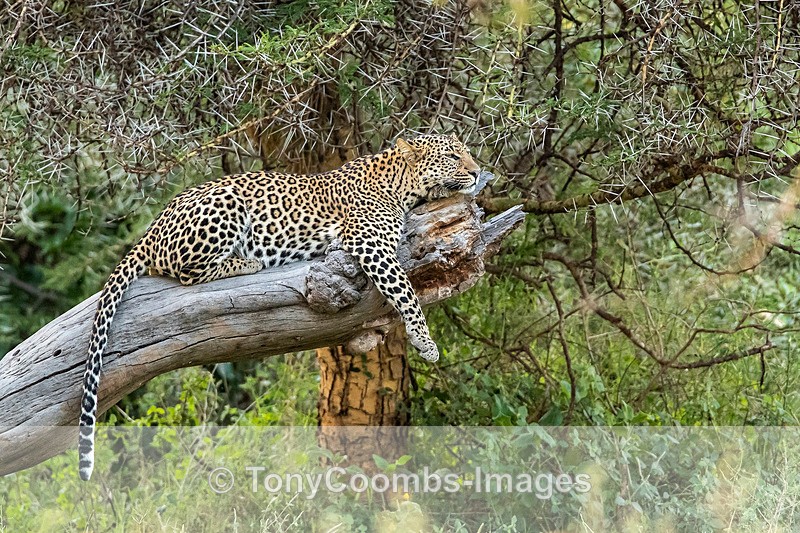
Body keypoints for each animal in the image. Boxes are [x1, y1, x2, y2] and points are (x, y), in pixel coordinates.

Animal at [78, 133, 481, 480]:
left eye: (466, 152)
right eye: (452, 156)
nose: (477, 172)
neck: (398, 182)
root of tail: (152, 226)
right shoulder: (370, 244)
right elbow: (405, 291)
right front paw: (425, 342)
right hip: (224, 206)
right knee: (182, 270)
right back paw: (247, 262)